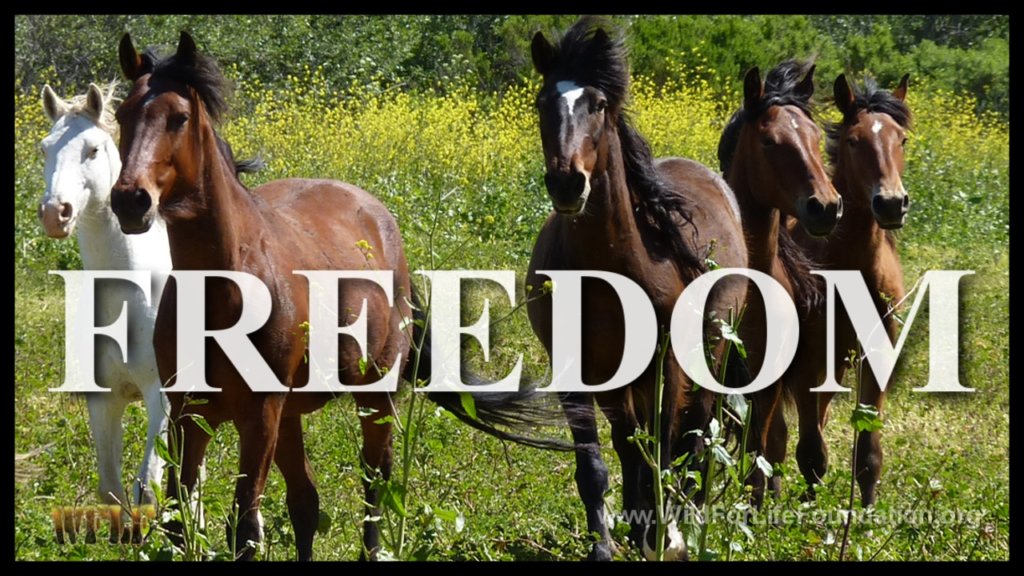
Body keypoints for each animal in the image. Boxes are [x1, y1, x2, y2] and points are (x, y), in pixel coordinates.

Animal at [110, 31, 566, 561]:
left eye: (179, 117)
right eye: (122, 115)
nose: (130, 200)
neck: (223, 290)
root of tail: (381, 218)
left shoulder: (258, 416)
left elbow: (243, 528)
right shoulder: (190, 415)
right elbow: (178, 525)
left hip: (372, 397)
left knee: (374, 482)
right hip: (288, 415)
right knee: (306, 501)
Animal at [526, 17, 749, 560]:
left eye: (598, 103)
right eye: (543, 102)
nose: (567, 183)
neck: (613, 268)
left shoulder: (668, 365)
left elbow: (666, 447)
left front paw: (667, 535)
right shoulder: (577, 369)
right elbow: (599, 463)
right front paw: (608, 543)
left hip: (706, 355)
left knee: (693, 436)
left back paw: (681, 518)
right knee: (634, 442)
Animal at [716, 60, 843, 505]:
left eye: (817, 138)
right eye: (770, 142)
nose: (826, 207)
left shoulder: (768, 384)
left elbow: (761, 454)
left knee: (797, 447)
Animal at [774, 73, 912, 506]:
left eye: (902, 139)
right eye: (853, 140)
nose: (891, 203)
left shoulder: (876, 353)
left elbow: (867, 453)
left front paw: (865, 514)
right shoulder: (807, 358)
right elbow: (810, 451)